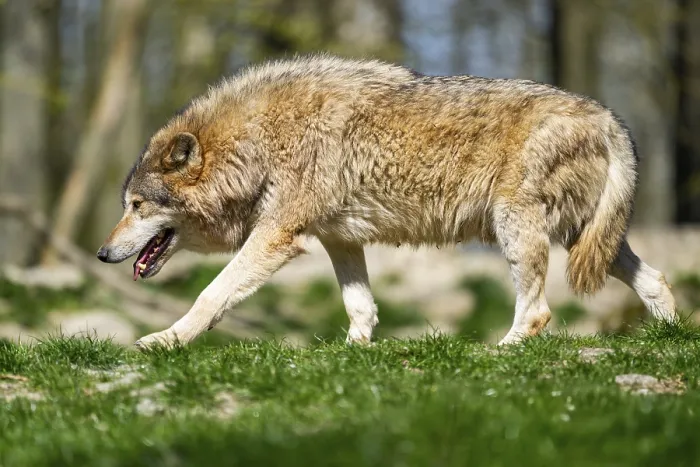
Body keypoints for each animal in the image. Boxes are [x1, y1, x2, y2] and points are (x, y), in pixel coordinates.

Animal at [97, 55, 677, 349]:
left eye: (136, 206)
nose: (102, 254)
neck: (255, 144)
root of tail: (607, 117)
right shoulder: (337, 238)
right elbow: (361, 305)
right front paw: (355, 353)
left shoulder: (277, 237)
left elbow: (210, 295)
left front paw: (166, 339)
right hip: (587, 240)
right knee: (657, 280)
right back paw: (673, 337)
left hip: (519, 230)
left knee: (537, 312)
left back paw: (505, 350)